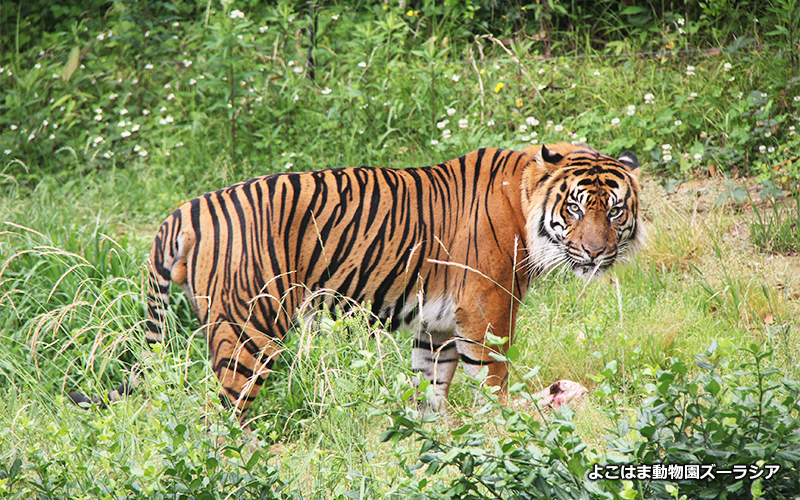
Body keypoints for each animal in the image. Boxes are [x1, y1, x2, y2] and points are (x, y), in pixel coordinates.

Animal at [69, 143, 644, 420]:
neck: (526, 205)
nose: (597, 252)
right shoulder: (487, 309)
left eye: (614, 211)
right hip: (250, 327)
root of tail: (184, 210)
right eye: (575, 208)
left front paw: (431, 439)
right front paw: (506, 432)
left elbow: (431, 387)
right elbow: (494, 381)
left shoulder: (437, 323)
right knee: (224, 414)